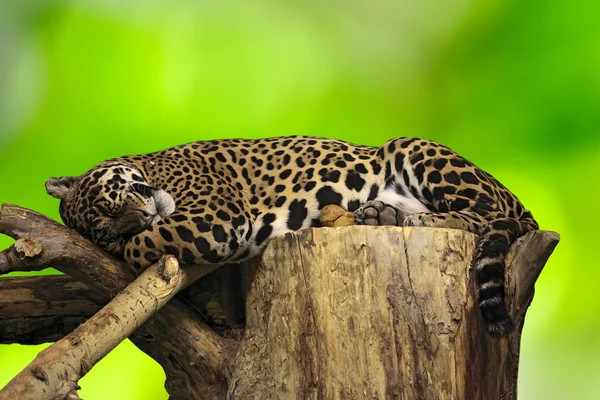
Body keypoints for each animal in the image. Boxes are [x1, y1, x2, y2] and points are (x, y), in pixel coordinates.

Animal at [44, 136, 536, 336]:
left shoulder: (213, 215)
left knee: (484, 213)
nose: (139, 218)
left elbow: (147, 245)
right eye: (104, 234)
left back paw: (413, 221)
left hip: (412, 148)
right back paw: (381, 213)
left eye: (110, 200)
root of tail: (522, 204)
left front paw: (142, 241)